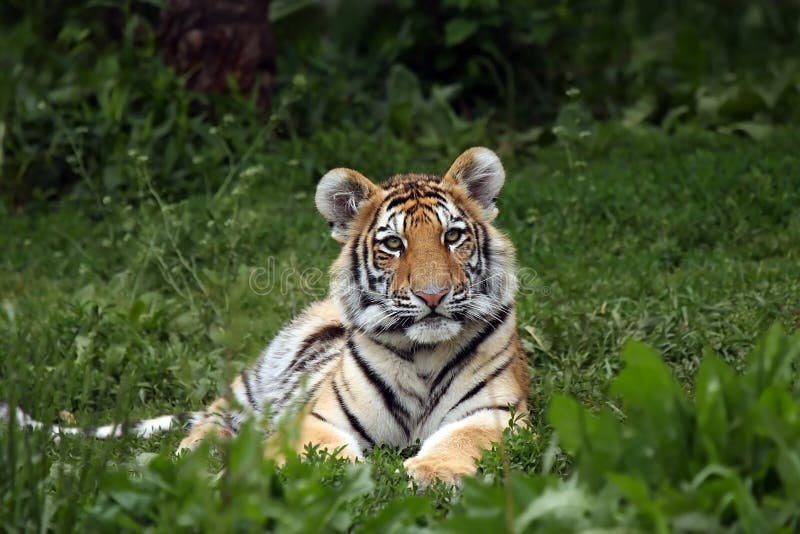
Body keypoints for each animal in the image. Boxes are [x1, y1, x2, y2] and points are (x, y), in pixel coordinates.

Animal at [1, 148, 532, 490]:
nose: (432, 295)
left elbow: (461, 440)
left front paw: (431, 473)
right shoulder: (318, 416)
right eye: (393, 244)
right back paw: (207, 450)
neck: (422, 352)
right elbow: (319, 451)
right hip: (250, 385)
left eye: (453, 236)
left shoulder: (496, 412)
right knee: (207, 422)